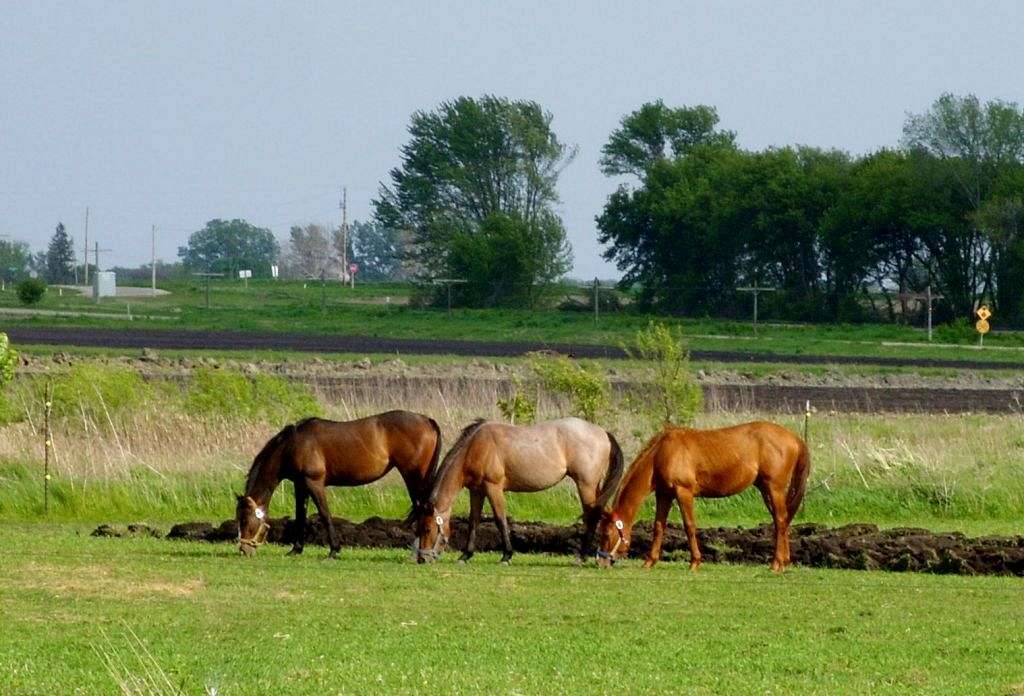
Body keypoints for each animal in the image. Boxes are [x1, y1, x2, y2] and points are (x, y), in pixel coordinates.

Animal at [236, 410, 442, 558]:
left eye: (245, 520)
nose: (244, 550)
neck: (294, 445)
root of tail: (427, 420)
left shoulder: (314, 483)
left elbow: (325, 514)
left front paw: (334, 549)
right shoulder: (300, 485)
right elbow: (300, 515)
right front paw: (296, 549)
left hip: (414, 476)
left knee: (422, 508)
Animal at [416, 417, 624, 565]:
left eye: (427, 528)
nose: (422, 559)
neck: (475, 447)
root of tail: (602, 432)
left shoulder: (493, 487)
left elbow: (500, 519)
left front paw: (506, 555)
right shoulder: (477, 491)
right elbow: (473, 520)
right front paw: (466, 555)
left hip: (585, 485)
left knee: (592, 516)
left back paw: (581, 557)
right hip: (595, 487)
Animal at [596, 421, 810, 572]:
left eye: (605, 534)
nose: (600, 562)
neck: (662, 453)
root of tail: (795, 438)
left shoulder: (684, 492)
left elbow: (689, 526)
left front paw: (695, 562)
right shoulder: (664, 494)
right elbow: (658, 527)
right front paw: (650, 561)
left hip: (774, 489)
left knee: (780, 521)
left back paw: (776, 564)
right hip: (766, 490)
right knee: (781, 521)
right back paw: (784, 562)